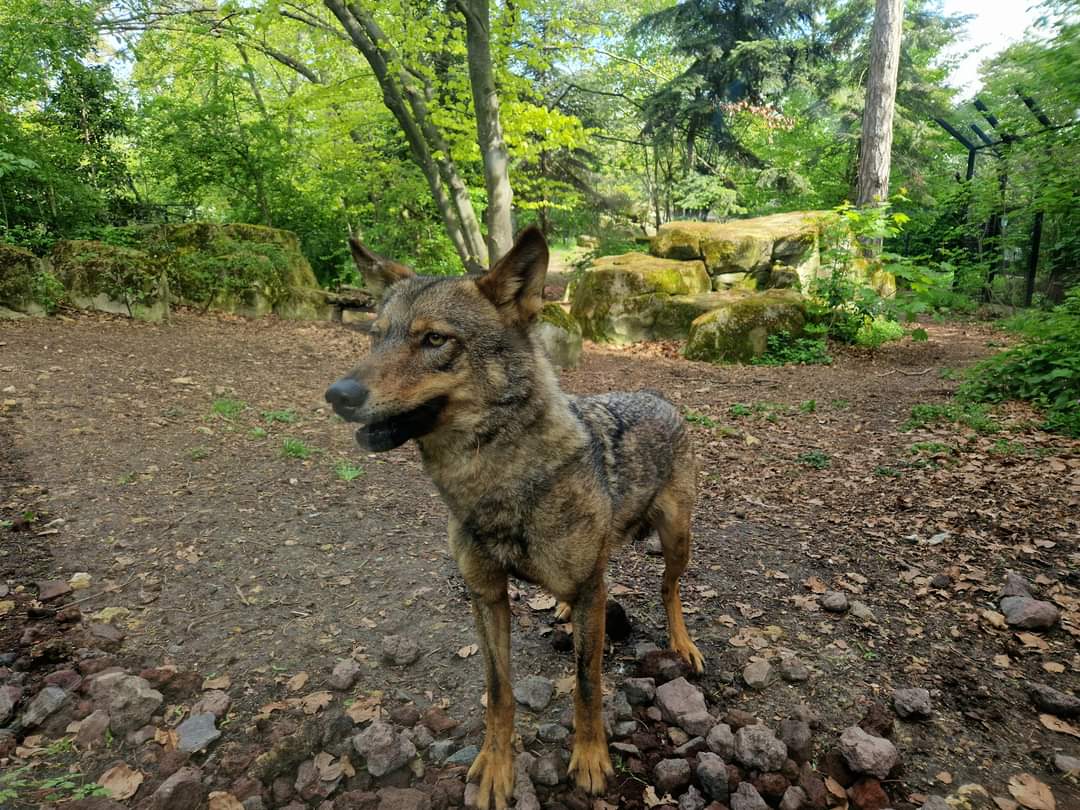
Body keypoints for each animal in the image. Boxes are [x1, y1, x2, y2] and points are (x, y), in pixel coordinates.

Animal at [325, 227, 703, 809]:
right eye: (375, 337)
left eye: (434, 340)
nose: (337, 395)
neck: (499, 484)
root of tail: (657, 394)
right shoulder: (487, 595)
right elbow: (498, 692)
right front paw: (496, 768)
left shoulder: (584, 591)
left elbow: (588, 684)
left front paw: (590, 759)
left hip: (675, 539)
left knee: (669, 589)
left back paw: (681, 643)